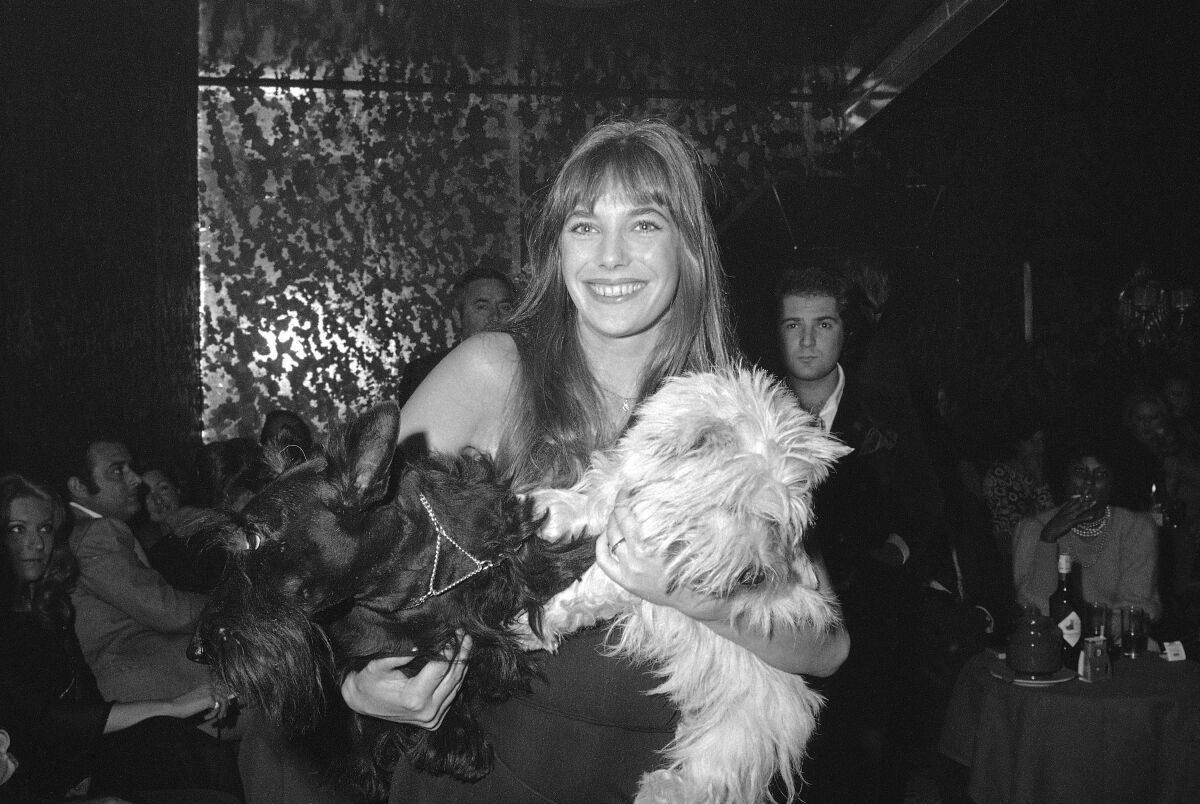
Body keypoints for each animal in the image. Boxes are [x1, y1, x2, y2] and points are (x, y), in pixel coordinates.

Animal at [530, 369, 849, 804]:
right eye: (732, 505)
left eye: (776, 522)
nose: (755, 577)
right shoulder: (629, 484)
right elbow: (599, 493)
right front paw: (550, 509)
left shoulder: (646, 568)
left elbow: (589, 591)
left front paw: (536, 624)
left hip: (738, 731)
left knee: (708, 779)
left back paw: (659, 789)